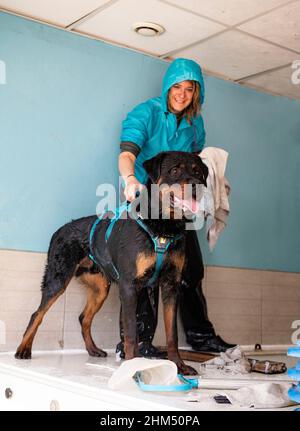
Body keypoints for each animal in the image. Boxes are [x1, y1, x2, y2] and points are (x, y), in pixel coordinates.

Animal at [15, 154, 207, 376]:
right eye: (175, 170)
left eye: (198, 172)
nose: (197, 185)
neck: (163, 227)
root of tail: (60, 230)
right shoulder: (129, 286)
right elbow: (131, 331)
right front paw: (133, 366)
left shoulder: (171, 286)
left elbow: (172, 334)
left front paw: (179, 365)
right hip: (58, 279)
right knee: (37, 314)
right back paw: (23, 349)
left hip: (100, 288)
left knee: (83, 318)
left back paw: (92, 349)